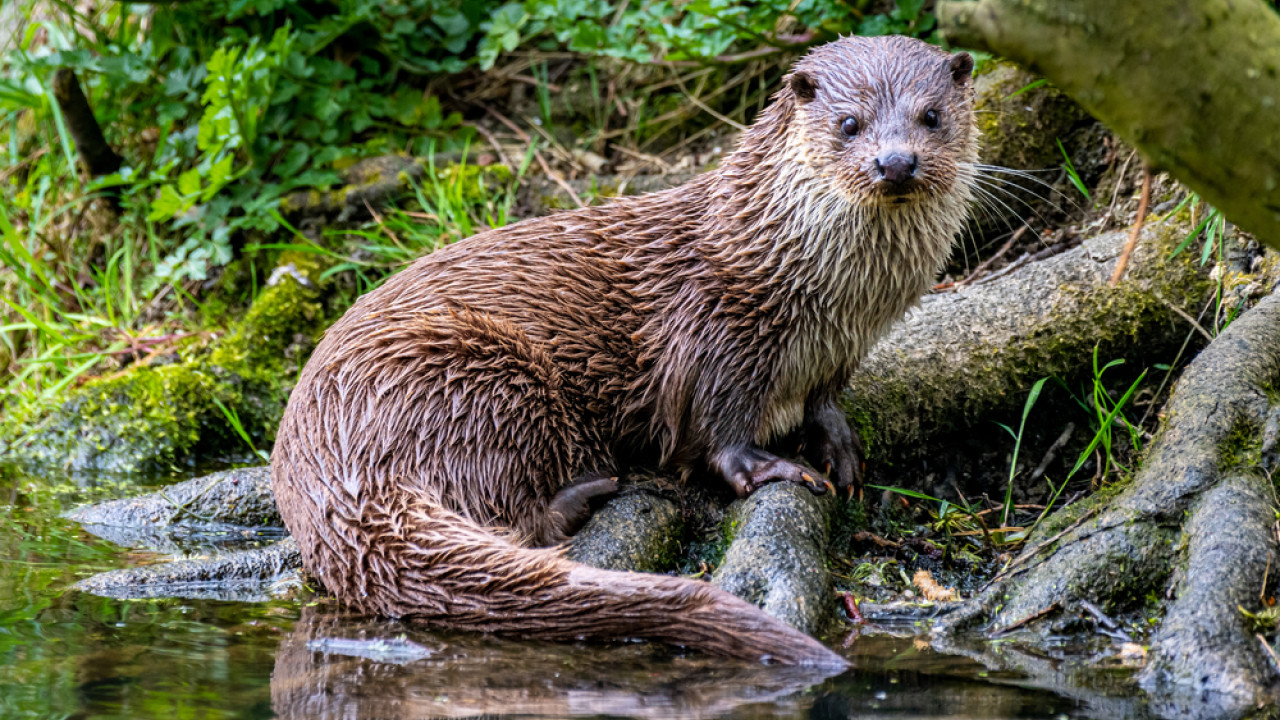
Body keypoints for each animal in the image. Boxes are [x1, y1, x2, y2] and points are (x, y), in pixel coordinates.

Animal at [267, 36, 967, 666]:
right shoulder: (717, 327)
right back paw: (590, 491)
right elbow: (716, 430)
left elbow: (824, 401)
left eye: (931, 116)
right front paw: (770, 467)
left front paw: (838, 445)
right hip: (479, 372)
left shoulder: (840, 350)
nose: (895, 162)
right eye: (849, 124)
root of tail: (324, 462)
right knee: (511, 516)